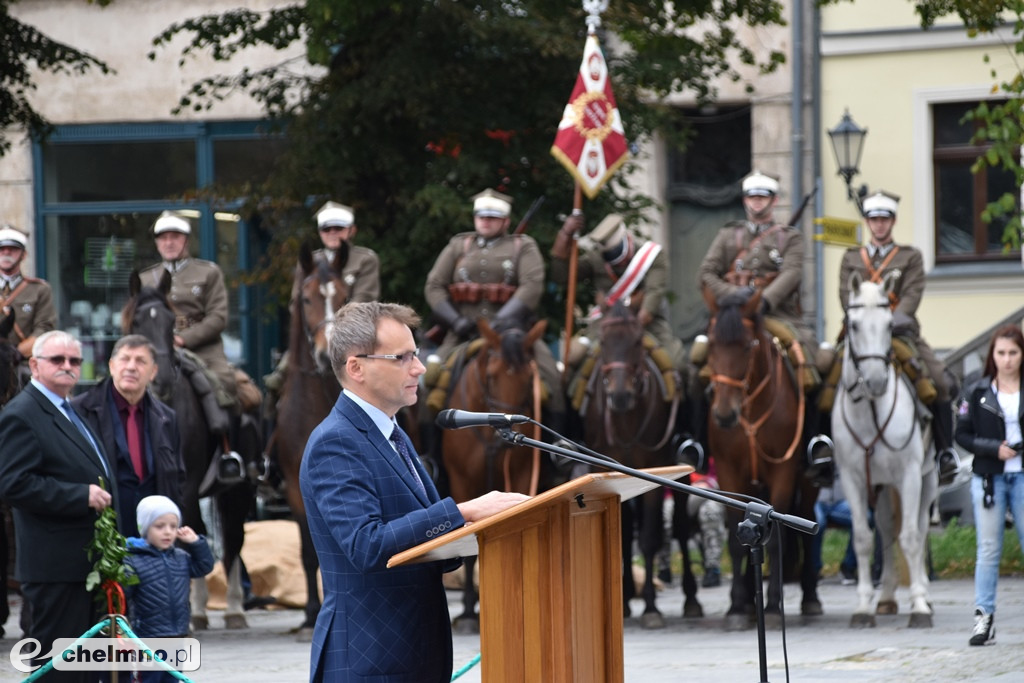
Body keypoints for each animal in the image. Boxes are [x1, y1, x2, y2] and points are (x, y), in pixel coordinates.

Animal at [577, 303, 696, 630]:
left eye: (637, 342)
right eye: (604, 343)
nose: (619, 396)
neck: (626, 420)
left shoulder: (654, 469)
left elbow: (650, 538)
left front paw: (652, 609)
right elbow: (625, 532)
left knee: (682, 527)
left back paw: (691, 598)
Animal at [704, 286, 823, 630]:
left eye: (746, 346)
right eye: (711, 344)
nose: (724, 414)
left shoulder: (783, 472)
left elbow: (776, 537)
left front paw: (770, 607)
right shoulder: (728, 472)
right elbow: (735, 538)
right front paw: (736, 606)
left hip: (806, 484)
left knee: (806, 530)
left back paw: (810, 598)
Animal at [831, 272, 937, 630]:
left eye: (890, 324)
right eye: (853, 324)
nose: (876, 382)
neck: (871, 412)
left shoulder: (909, 476)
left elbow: (912, 537)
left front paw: (919, 606)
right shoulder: (853, 480)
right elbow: (864, 539)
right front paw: (864, 606)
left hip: (927, 480)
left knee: (919, 529)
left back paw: (924, 594)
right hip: (881, 487)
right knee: (887, 529)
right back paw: (888, 597)